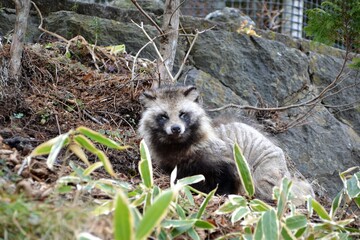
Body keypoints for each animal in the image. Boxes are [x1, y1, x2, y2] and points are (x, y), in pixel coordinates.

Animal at [139, 85, 314, 203]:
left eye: (183, 114)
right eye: (163, 116)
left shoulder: (223, 157)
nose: (176, 129)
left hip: (267, 170)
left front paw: (221, 195)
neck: (177, 146)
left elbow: (226, 177)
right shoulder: (174, 166)